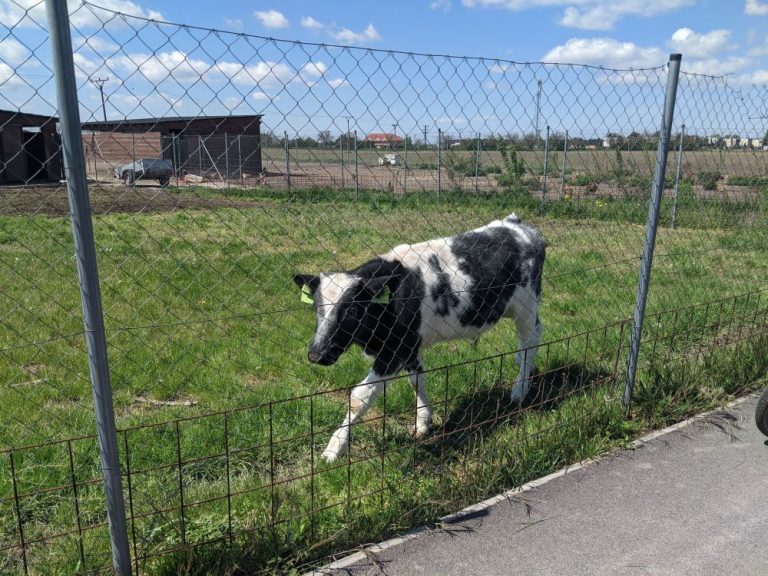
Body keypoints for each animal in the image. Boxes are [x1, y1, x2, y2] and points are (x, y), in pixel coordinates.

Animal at [292, 214, 544, 462]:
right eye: (316, 306)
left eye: (353, 310)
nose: (316, 354)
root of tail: (517, 224)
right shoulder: (410, 348)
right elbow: (416, 381)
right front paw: (423, 423)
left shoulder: (394, 351)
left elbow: (358, 397)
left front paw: (334, 449)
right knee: (533, 336)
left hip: (526, 306)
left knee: (530, 341)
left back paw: (519, 390)